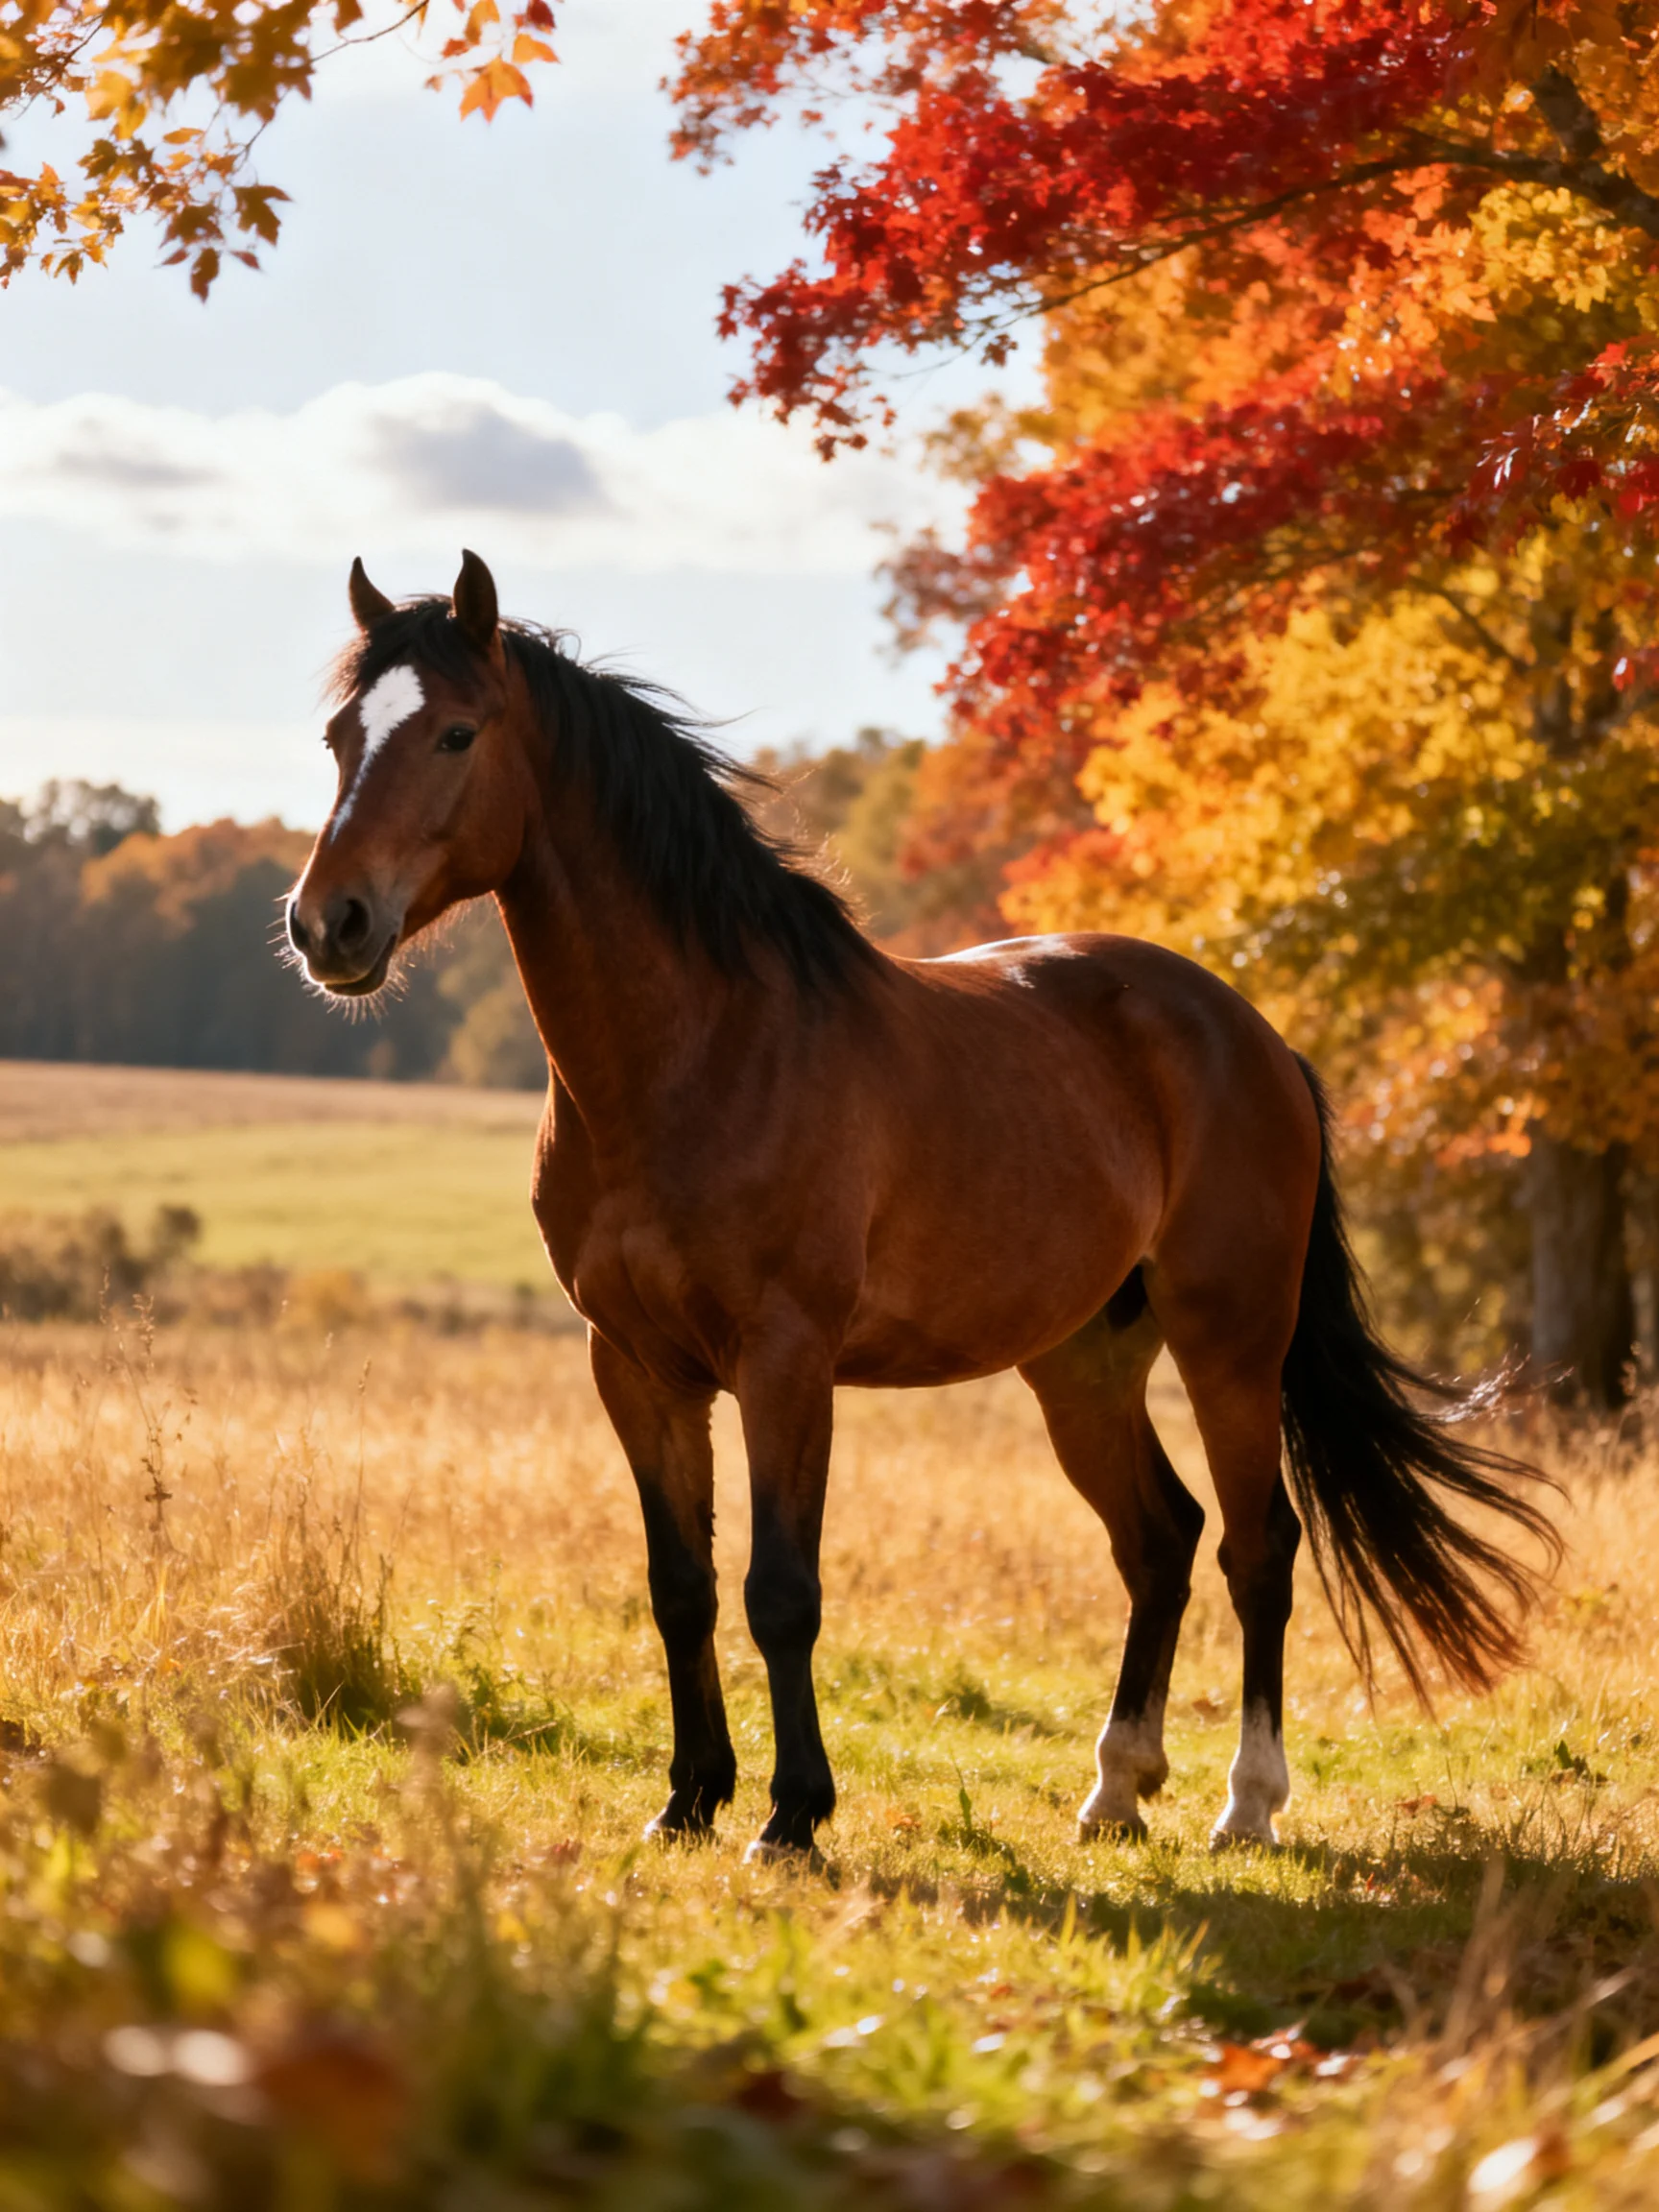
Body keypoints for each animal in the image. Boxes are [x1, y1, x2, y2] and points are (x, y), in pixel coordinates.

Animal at [285, 550, 1557, 1859]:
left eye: (456, 732)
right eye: (340, 735)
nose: (327, 924)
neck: (696, 1054)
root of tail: (1253, 1036)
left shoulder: (786, 1360)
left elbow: (781, 1592)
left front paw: (792, 1815)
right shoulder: (634, 1365)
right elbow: (680, 1587)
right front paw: (688, 1801)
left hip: (1231, 1349)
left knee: (1260, 1550)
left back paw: (1245, 1805)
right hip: (1082, 1363)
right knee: (1159, 1541)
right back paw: (1116, 1789)